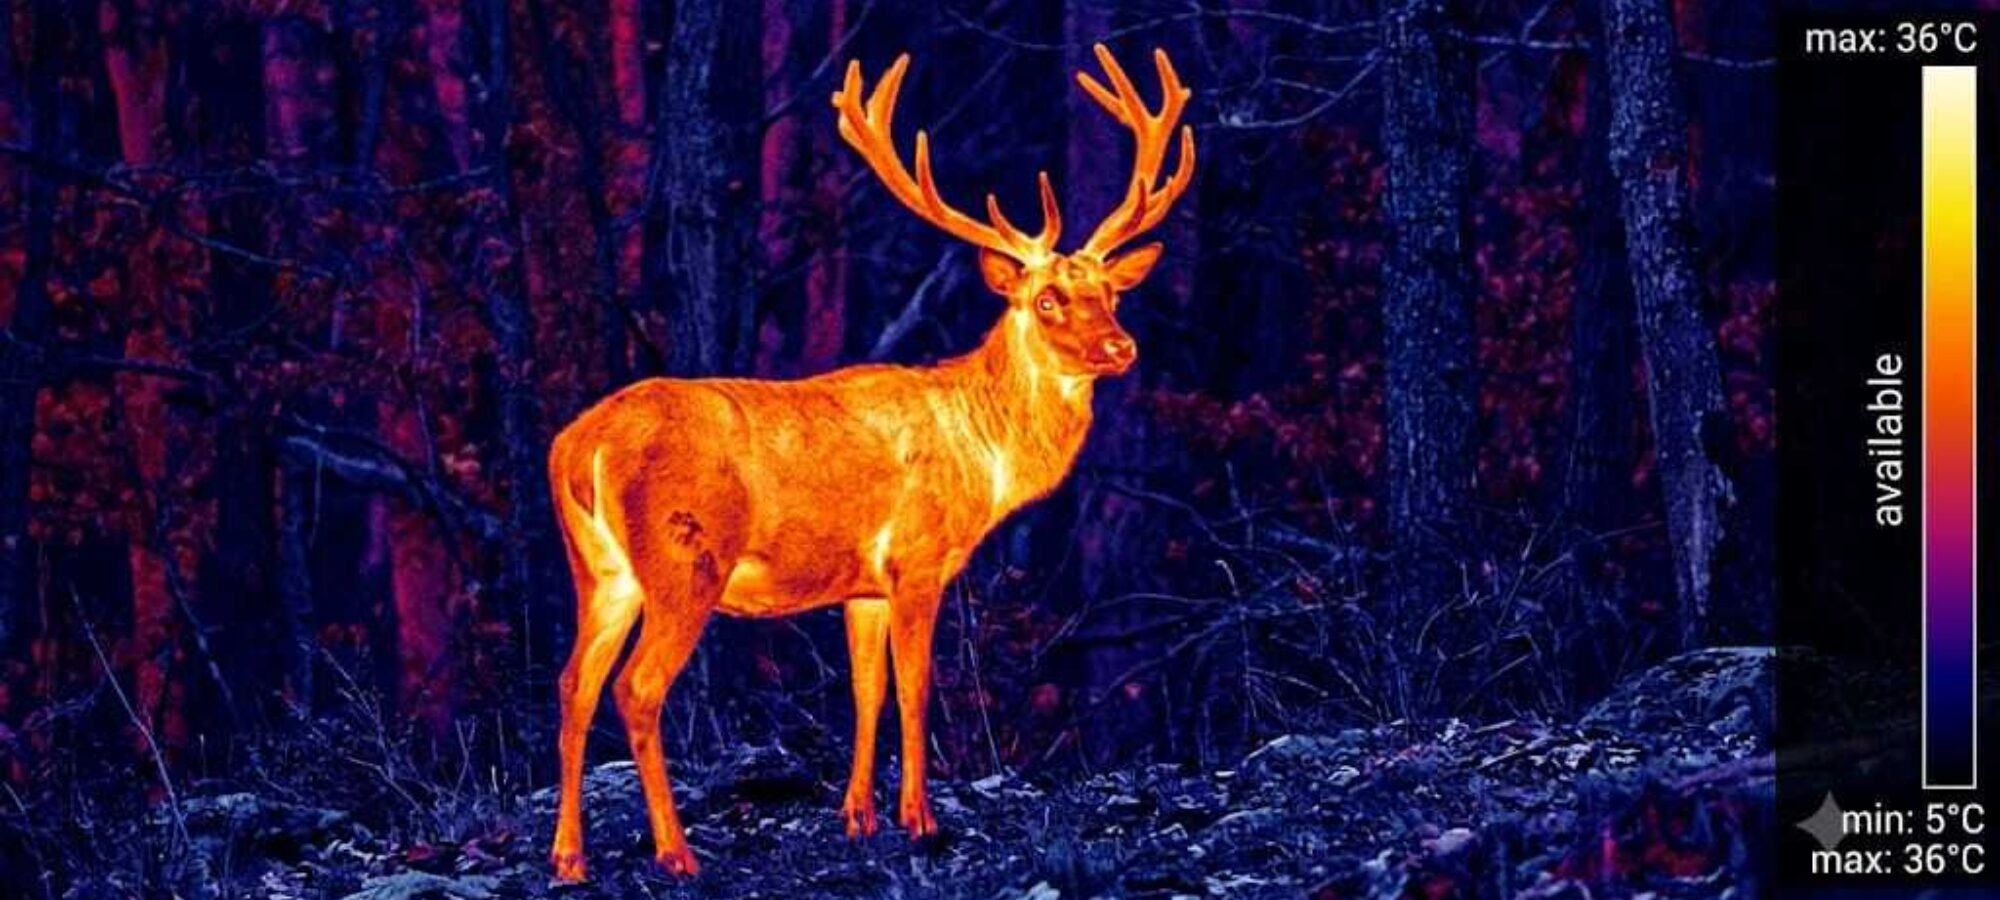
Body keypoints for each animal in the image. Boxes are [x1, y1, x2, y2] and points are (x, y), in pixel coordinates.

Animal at [546, 44, 1193, 880]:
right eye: (1047, 299)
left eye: (1111, 290)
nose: (1121, 346)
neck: (981, 450)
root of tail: (579, 445)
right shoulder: (918, 558)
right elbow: (916, 689)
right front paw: (921, 820)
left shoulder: (863, 586)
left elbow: (866, 691)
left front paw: (857, 818)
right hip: (685, 560)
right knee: (638, 687)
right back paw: (675, 852)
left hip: (601, 570)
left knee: (573, 683)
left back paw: (569, 858)